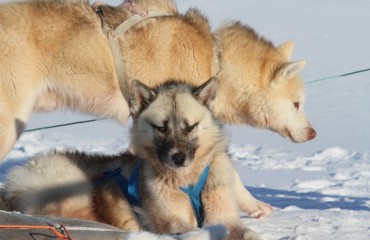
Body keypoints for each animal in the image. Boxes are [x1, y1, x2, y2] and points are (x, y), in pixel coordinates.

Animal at [2, 78, 264, 238]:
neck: (188, 182)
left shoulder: (226, 217)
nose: (178, 157)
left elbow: (247, 232)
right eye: (161, 128)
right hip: (74, 189)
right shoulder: (172, 221)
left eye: (190, 127)